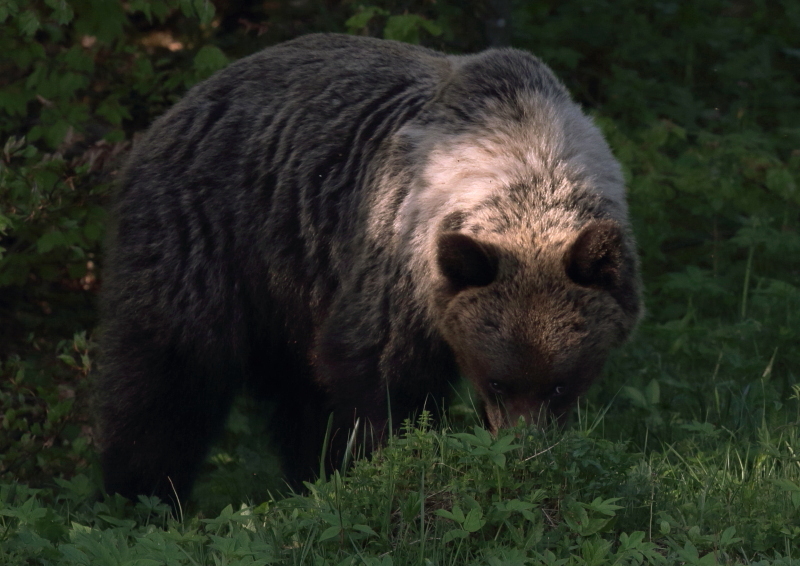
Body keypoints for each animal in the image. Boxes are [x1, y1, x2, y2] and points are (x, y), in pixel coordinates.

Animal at [97, 33, 640, 508]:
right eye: (497, 382)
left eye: (561, 384)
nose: (527, 453)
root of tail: (179, 106)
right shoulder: (397, 264)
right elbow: (379, 376)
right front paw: (389, 464)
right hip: (208, 238)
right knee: (166, 380)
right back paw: (139, 497)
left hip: (296, 286)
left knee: (299, 397)